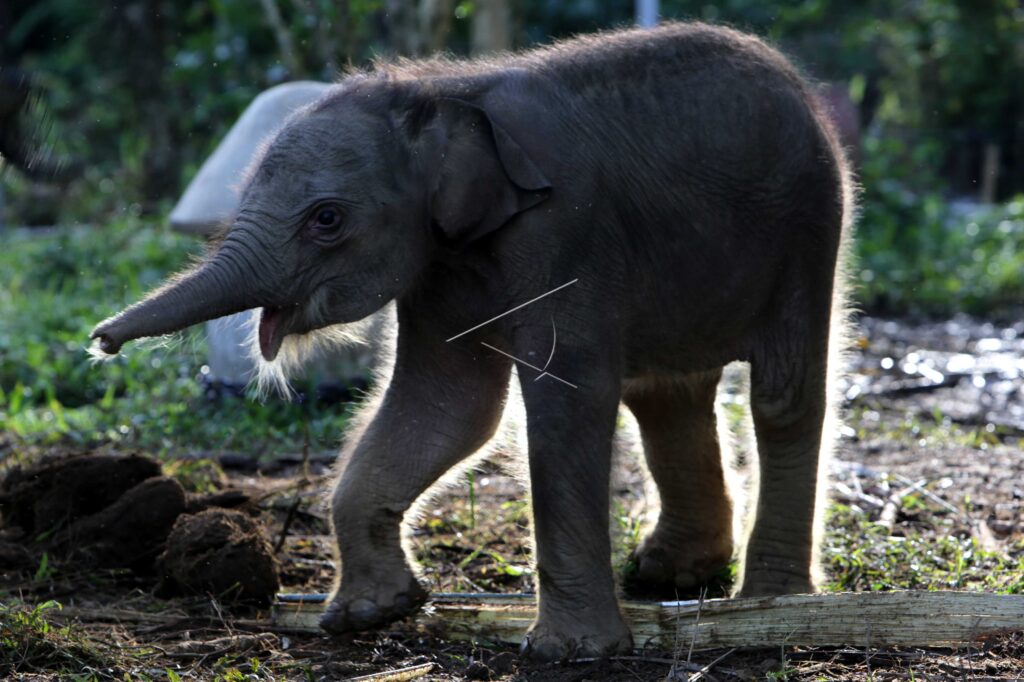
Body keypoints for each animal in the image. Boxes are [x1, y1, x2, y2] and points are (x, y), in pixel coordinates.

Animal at [92, 22, 853, 661]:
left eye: (326, 219)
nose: (102, 342)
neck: (444, 90)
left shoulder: (568, 235)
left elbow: (567, 399)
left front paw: (568, 653)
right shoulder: (441, 260)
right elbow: (446, 406)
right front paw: (372, 613)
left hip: (809, 228)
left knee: (783, 395)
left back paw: (771, 605)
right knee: (667, 393)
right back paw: (669, 575)